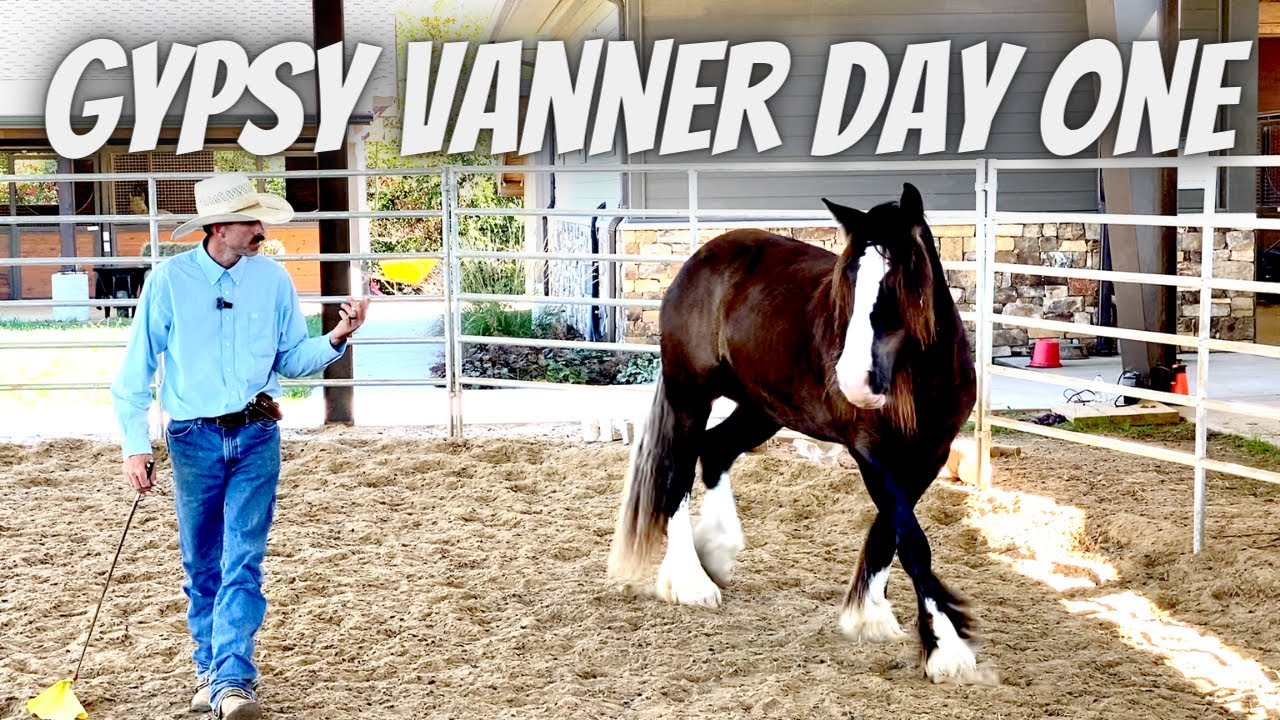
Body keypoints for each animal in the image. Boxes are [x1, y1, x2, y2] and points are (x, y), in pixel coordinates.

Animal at [607, 183, 981, 684]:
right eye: (848, 282)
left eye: (901, 279)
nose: (855, 382)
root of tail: (699, 259)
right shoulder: (872, 453)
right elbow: (911, 541)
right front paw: (947, 651)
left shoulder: (931, 454)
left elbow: (892, 530)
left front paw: (869, 615)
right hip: (691, 396)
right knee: (677, 475)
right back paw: (690, 580)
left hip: (764, 408)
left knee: (716, 451)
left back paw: (717, 549)